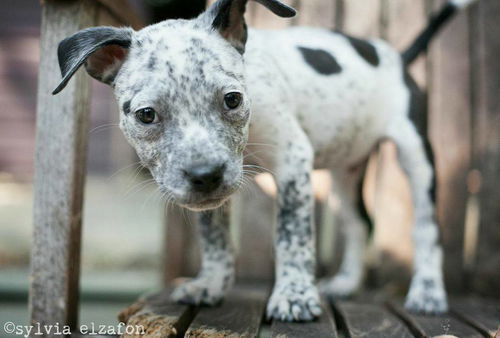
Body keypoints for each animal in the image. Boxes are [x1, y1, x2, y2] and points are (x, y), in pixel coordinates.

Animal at [52, 0, 478, 322]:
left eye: (232, 99)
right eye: (145, 115)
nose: (205, 176)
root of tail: (396, 56)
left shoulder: (293, 163)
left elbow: (292, 236)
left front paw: (294, 296)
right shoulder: (214, 196)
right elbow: (215, 238)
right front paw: (211, 284)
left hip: (416, 155)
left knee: (426, 229)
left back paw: (427, 292)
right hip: (344, 172)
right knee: (360, 223)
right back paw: (345, 283)